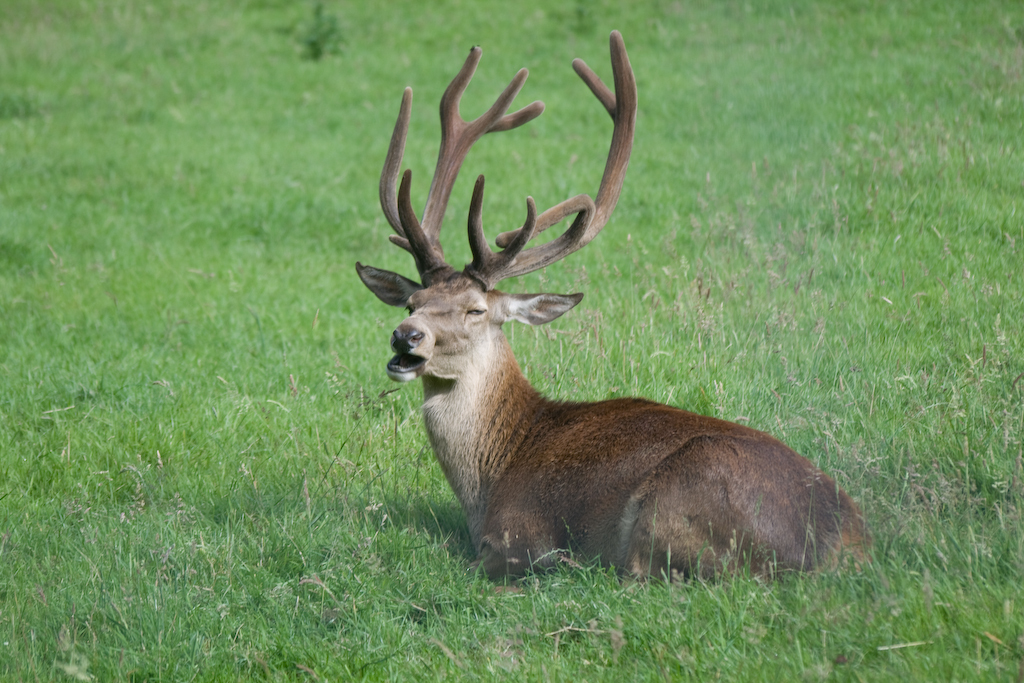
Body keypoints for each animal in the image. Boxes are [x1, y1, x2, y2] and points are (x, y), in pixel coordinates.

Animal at [356, 30, 868, 577]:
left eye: (476, 309)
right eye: (412, 302)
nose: (406, 337)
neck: (494, 475)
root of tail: (848, 545)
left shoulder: (518, 536)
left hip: (673, 502)